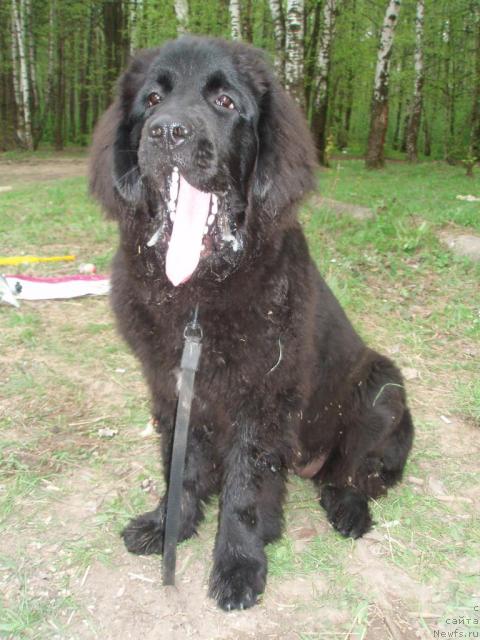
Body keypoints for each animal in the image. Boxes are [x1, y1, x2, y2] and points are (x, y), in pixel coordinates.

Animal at [90, 35, 412, 608]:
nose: (167, 131)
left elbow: (245, 488)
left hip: (382, 388)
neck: (198, 295)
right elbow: (182, 470)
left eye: (225, 102)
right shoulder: (173, 388)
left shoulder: (263, 399)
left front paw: (239, 565)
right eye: (152, 100)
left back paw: (349, 512)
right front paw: (167, 526)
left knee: (351, 474)